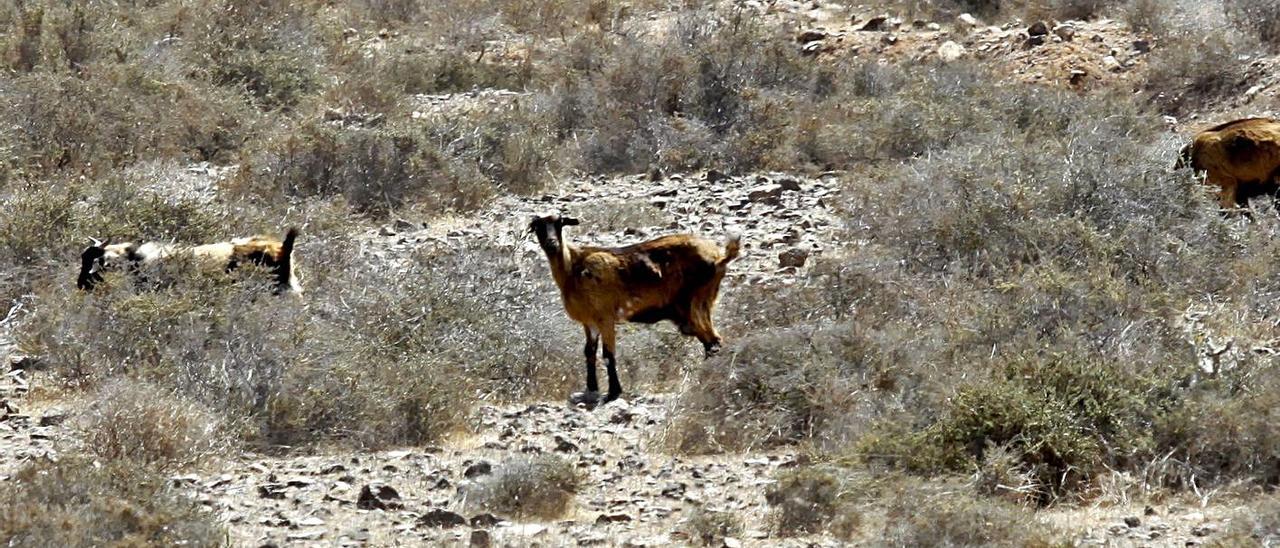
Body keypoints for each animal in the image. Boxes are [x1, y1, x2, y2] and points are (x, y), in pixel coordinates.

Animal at [527, 216, 742, 404]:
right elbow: (589, 352)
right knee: (711, 342)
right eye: (538, 227)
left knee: (713, 341)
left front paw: (613, 392)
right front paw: (591, 389)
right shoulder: (589, 322)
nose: (552, 243)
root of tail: (720, 256)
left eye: (560, 223)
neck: (574, 267)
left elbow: (608, 355)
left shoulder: (605, 318)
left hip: (694, 303)